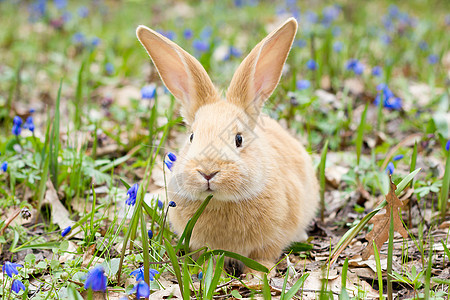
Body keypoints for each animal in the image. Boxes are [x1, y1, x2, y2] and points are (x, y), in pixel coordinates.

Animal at [137, 17, 320, 276]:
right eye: (192, 137)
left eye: (239, 139)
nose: (208, 172)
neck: (220, 201)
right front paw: (213, 272)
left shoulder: (270, 242)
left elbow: (263, 256)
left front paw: (257, 275)